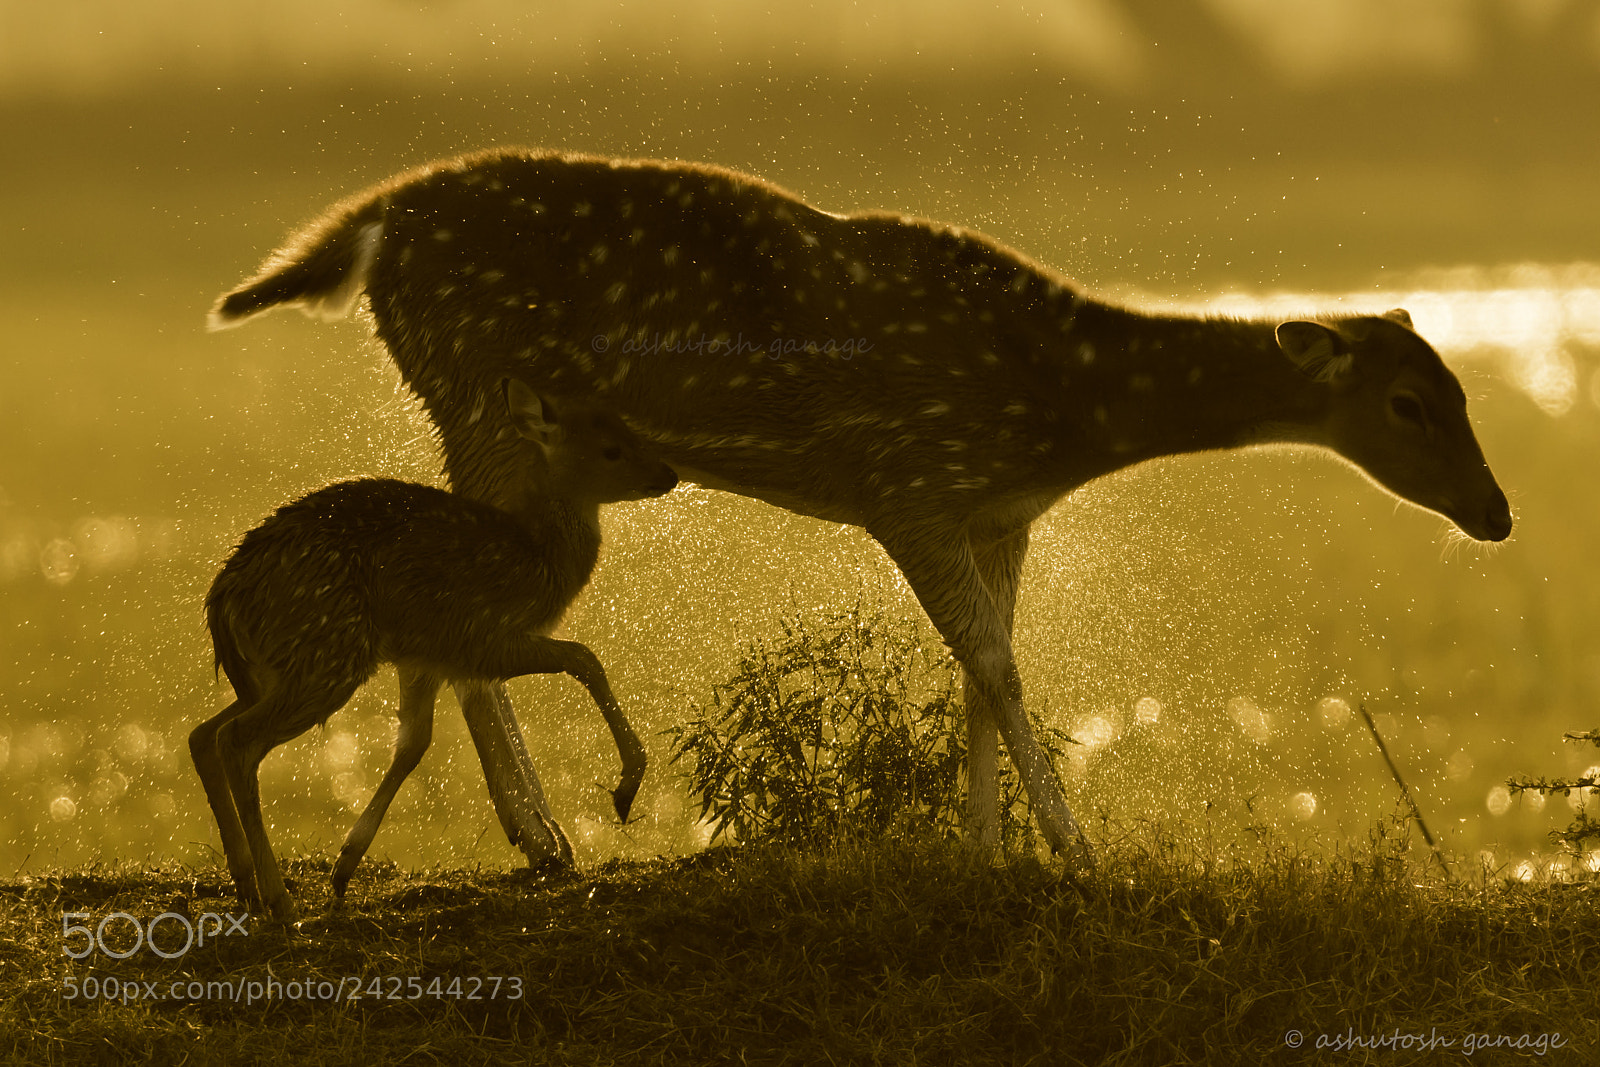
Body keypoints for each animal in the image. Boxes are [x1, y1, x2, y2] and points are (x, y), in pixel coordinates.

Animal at [189, 376, 678, 921]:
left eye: (627, 426)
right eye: (612, 449)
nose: (668, 473)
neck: (536, 559)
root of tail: (224, 597)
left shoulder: (425, 656)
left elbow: (414, 743)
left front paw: (346, 864)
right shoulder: (477, 637)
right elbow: (584, 657)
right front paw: (627, 787)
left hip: (274, 669)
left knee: (202, 734)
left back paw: (246, 883)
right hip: (329, 652)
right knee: (235, 740)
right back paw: (278, 899)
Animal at [209, 147, 1513, 870]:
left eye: (1460, 384)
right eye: (1407, 402)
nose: (1496, 512)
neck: (1068, 408)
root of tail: (368, 228)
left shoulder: (1000, 509)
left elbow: (984, 667)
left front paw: (988, 849)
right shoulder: (908, 478)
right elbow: (994, 663)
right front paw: (1070, 847)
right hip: (474, 381)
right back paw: (543, 836)